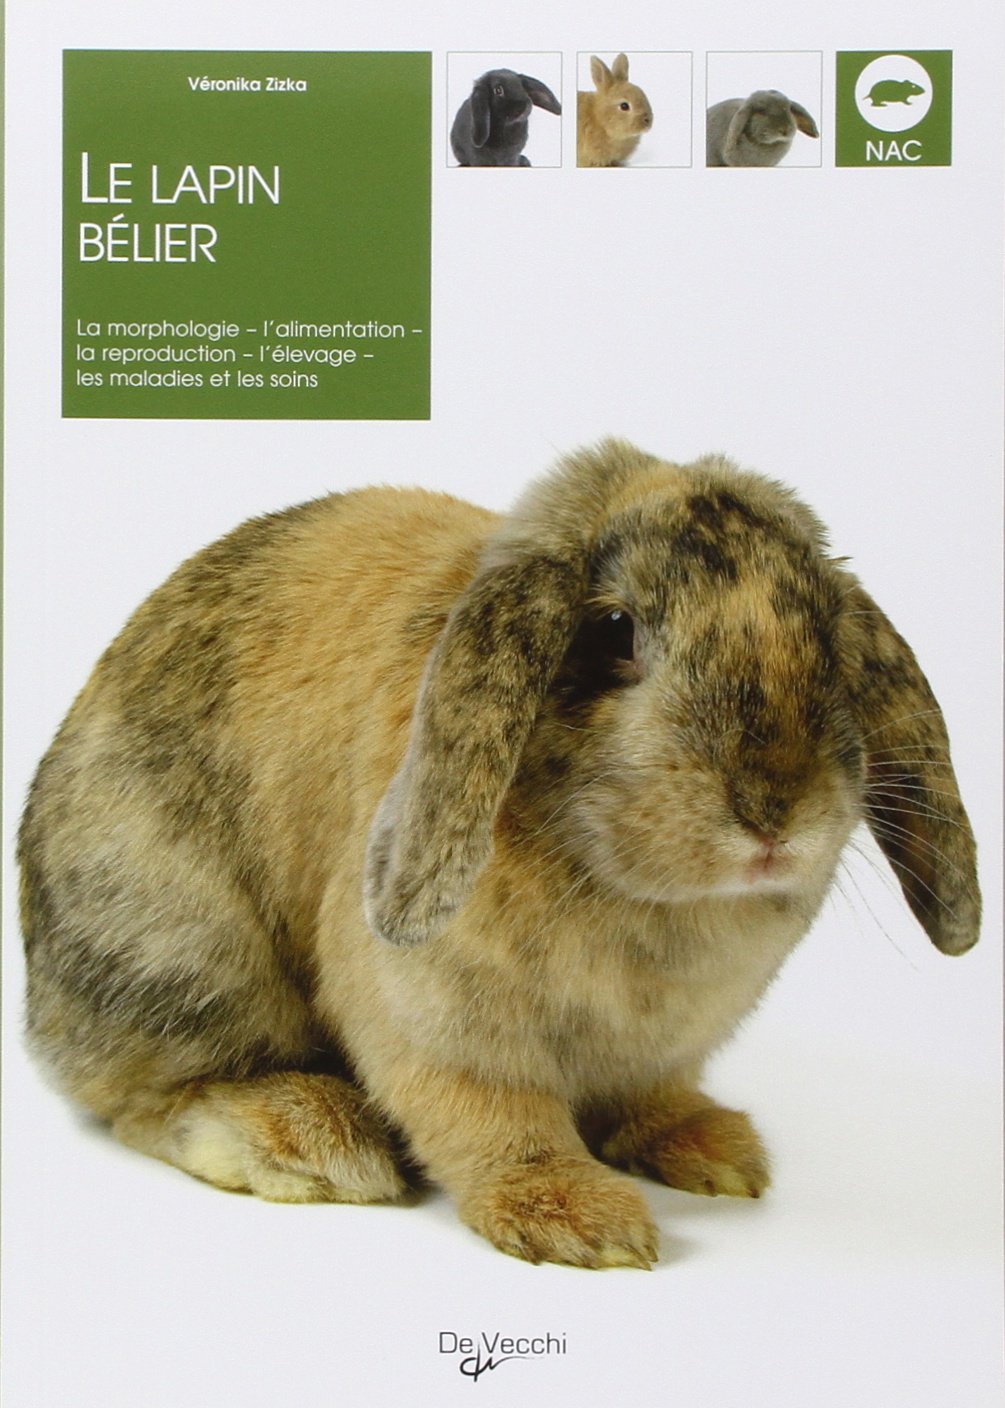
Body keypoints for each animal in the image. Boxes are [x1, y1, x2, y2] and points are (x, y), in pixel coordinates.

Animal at [19, 439, 980, 1269]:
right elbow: (492, 1120)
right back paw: (305, 1139)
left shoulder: (661, 1050)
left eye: (828, 636)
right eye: (613, 631)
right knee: (143, 1099)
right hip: (181, 948)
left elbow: (653, 1094)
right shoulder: (441, 1027)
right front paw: (575, 1220)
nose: (774, 813)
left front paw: (713, 1152)